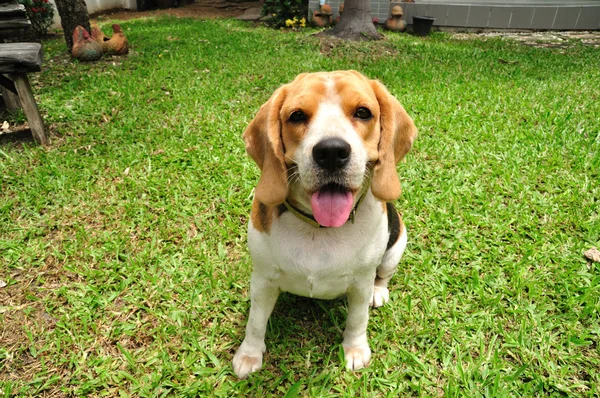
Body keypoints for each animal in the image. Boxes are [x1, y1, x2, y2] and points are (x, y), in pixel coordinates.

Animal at [234, 70, 418, 378]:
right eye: (296, 116)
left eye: (363, 112)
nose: (331, 151)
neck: (318, 230)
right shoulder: (262, 279)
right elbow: (256, 321)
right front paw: (249, 355)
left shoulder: (361, 282)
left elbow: (357, 319)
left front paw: (355, 350)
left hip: (396, 246)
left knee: (383, 275)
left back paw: (379, 292)